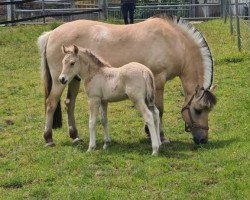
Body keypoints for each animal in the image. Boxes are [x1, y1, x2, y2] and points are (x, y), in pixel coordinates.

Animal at [37, 15, 217, 147]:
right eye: (198, 110)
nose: (203, 140)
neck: (173, 42)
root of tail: (51, 34)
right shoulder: (158, 80)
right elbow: (159, 110)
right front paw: (161, 137)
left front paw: (148, 132)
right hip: (60, 81)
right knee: (51, 103)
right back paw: (48, 138)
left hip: (73, 79)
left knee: (69, 104)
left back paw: (75, 136)